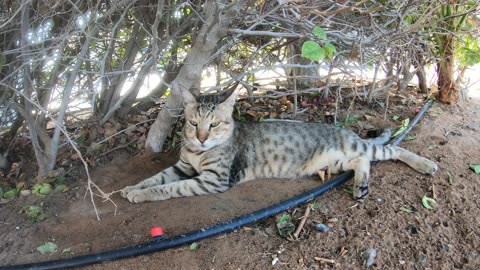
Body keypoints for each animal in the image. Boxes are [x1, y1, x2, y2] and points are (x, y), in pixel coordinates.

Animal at [121, 90, 438, 202]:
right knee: (362, 163)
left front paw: (140, 195)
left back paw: (426, 164)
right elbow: (156, 178)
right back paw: (360, 185)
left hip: (359, 148)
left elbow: (169, 188)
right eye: (192, 123)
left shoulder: (212, 180)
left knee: (393, 150)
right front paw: (132, 188)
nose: (200, 137)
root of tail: (345, 130)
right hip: (335, 162)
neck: (199, 153)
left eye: (214, 125)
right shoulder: (183, 167)